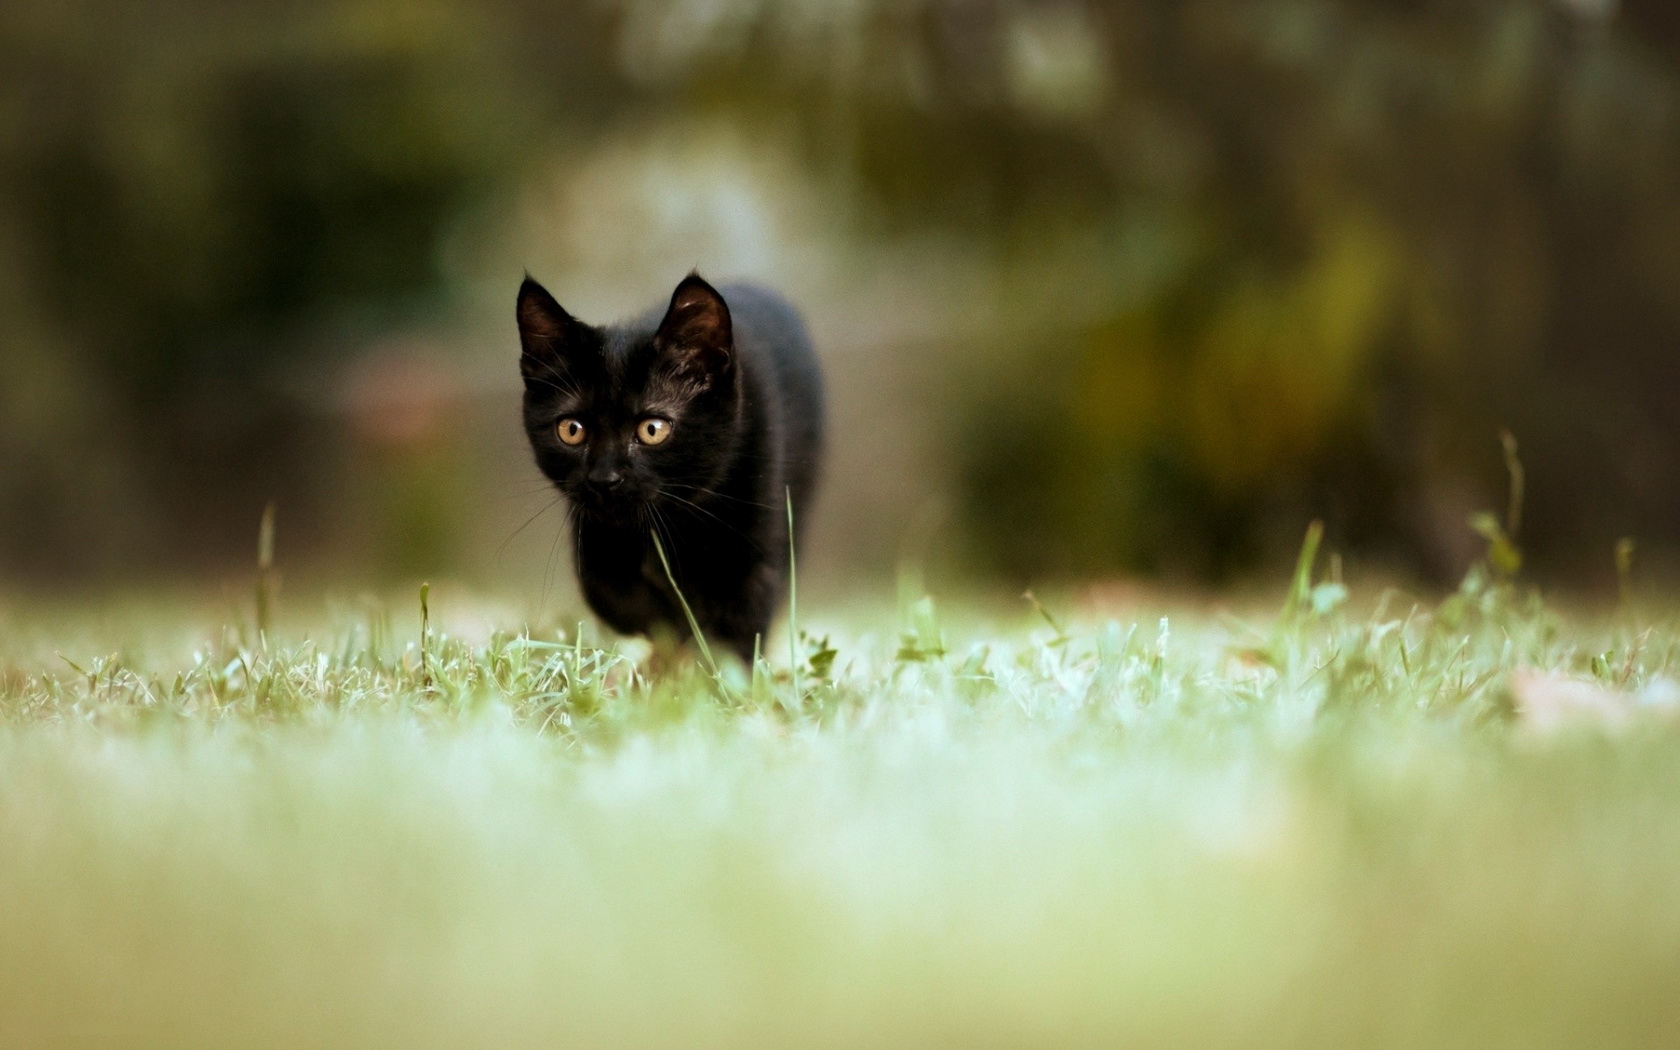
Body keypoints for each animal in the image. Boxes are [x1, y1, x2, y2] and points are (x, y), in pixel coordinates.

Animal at [514, 272, 823, 661]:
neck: (673, 523)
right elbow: (617, 597)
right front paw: (673, 632)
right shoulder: (593, 535)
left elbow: (740, 621)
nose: (604, 478)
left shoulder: (755, 544)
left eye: (652, 430)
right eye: (572, 430)